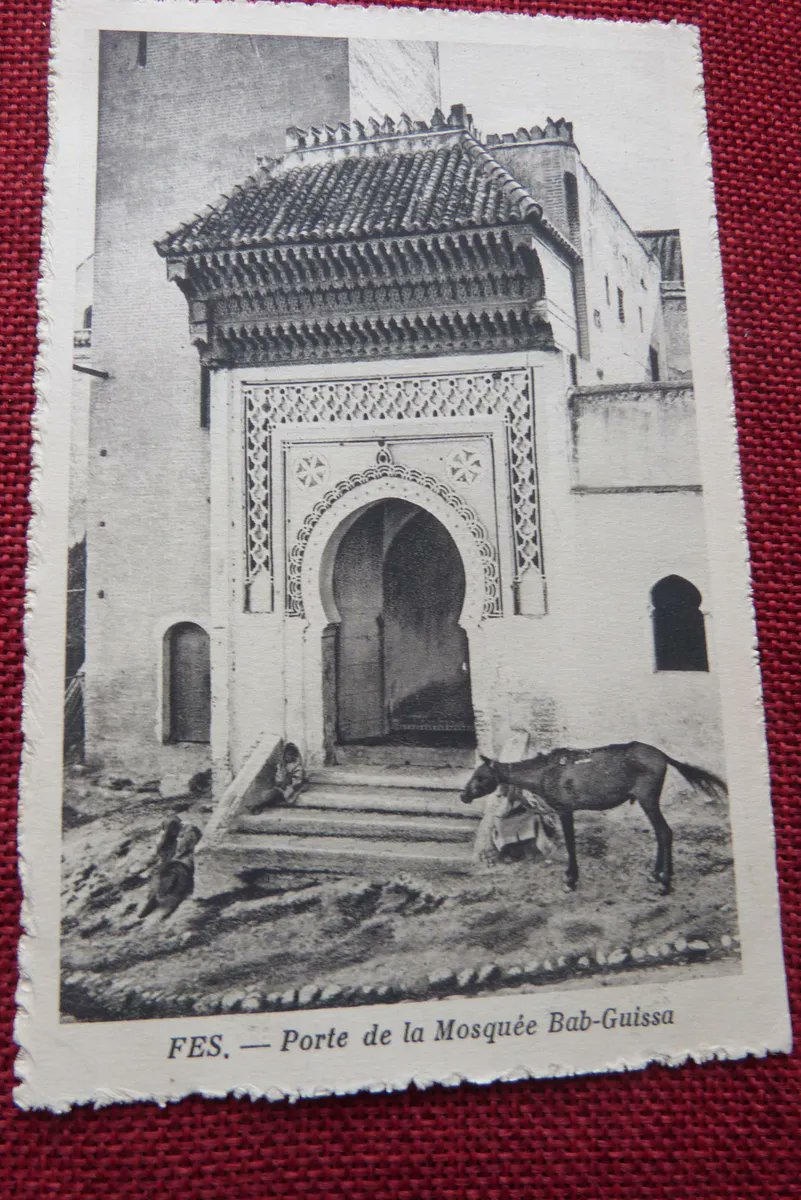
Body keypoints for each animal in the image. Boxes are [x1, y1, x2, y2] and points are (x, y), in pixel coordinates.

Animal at [460, 742, 727, 893]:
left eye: (481, 776)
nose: (463, 795)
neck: (545, 772)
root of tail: (663, 756)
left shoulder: (565, 809)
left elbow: (570, 843)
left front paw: (570, 880)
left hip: (648, 799)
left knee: (664, 832)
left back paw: (664, 881)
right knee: (662, 833)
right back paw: (656, 875)